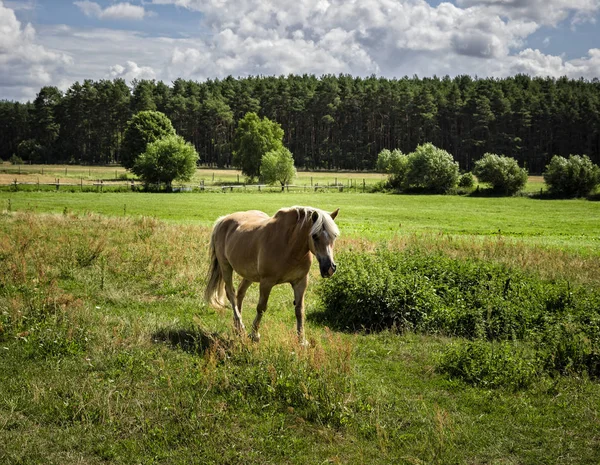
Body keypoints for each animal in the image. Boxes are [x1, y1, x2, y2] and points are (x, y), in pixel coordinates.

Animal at [205, 205, 338, 342]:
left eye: (334, 236)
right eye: (315, 236)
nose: (329, 268)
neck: (289, 245)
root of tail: (224, 219)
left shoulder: (300, 282)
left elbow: (300, 310)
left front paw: (302, 340)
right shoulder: (266, 282)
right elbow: (261, 308)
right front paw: (255, 334)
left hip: (249, 274)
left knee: (240, 293)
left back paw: (237, 328)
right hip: (225, 266)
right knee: (231, 293)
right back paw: (241, 326)